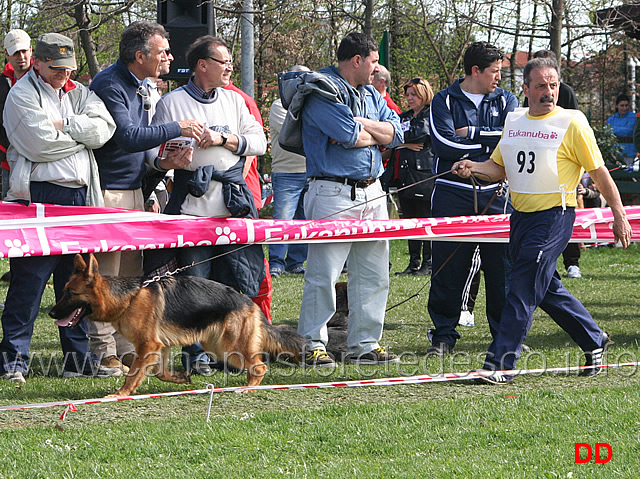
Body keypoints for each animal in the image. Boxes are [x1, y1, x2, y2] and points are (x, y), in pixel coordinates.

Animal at [48, 255, 304, 398]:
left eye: (70, 294)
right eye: (63, 291)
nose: (51, 313)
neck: (128, 297)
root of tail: (250, 303)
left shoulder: (147, 345)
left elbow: (133, 374)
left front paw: (121, 394)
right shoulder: (159, 346)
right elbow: (161, 373)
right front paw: (181, 379)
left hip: (230, 346)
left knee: (259, 367)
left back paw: (249, 388)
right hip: (216, 345)